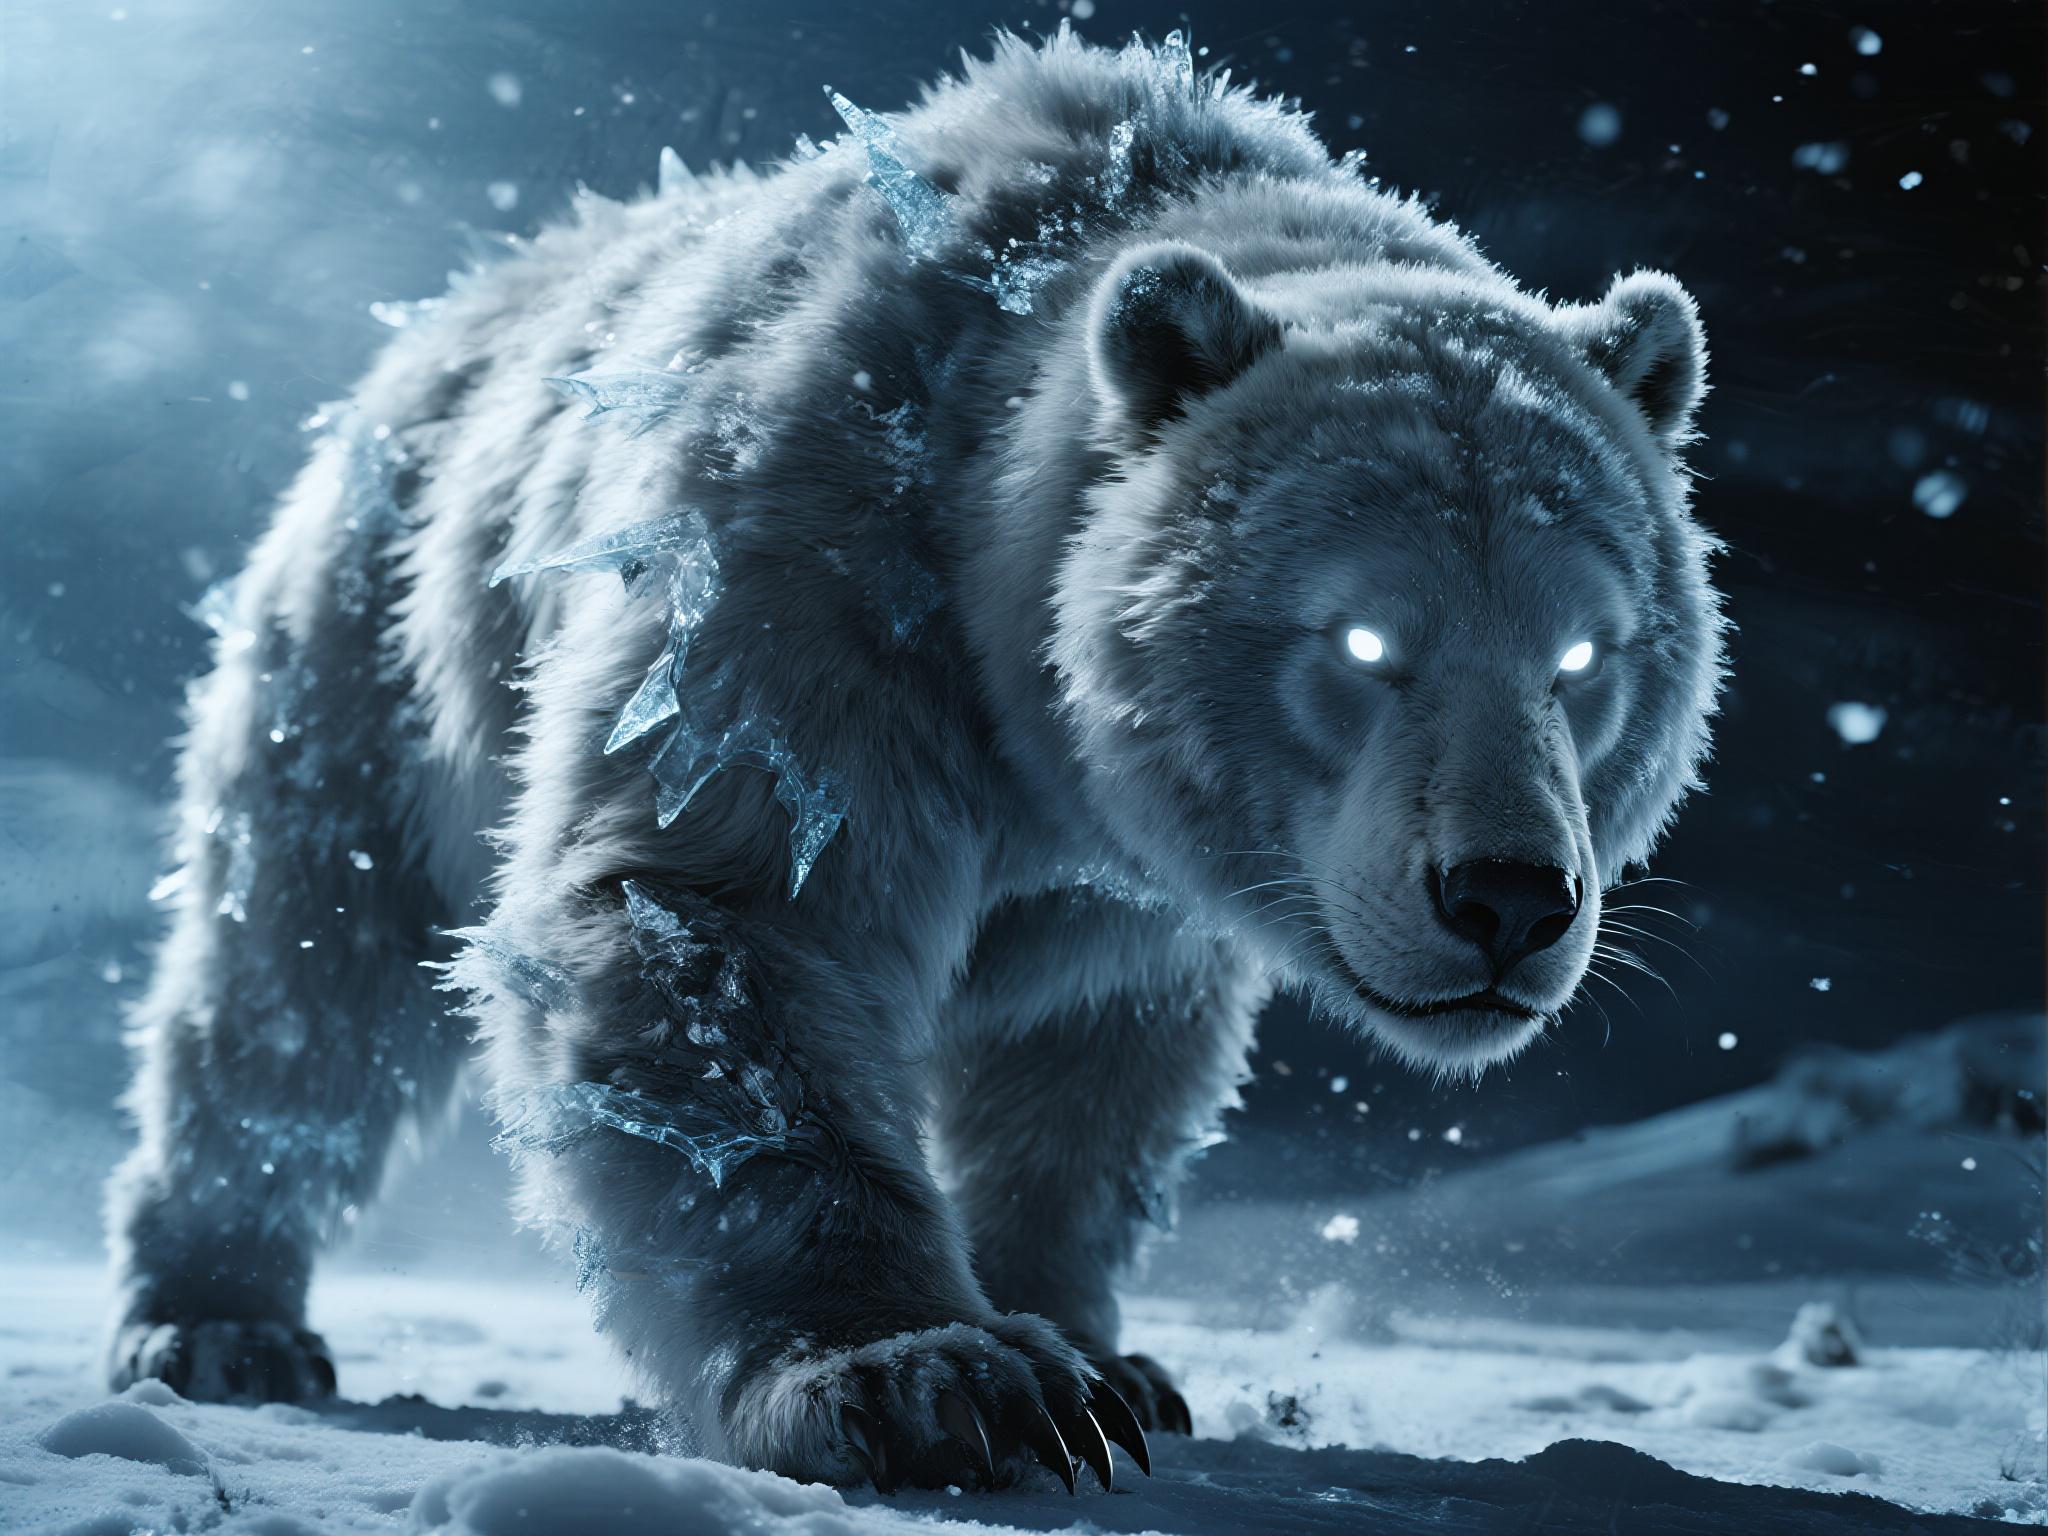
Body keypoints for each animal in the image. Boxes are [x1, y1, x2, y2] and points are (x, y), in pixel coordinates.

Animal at [104, 27, 1723, 1492]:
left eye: (1586, 657)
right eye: (1367, 640)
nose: (1507, 901)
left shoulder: (1115, 889)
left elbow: (1086, 1071)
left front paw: (1103, 1357)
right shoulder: (815, 586)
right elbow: (729, 917)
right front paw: (934, 1380)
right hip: (377, 657)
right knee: (301, 980)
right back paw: (220, 1319)